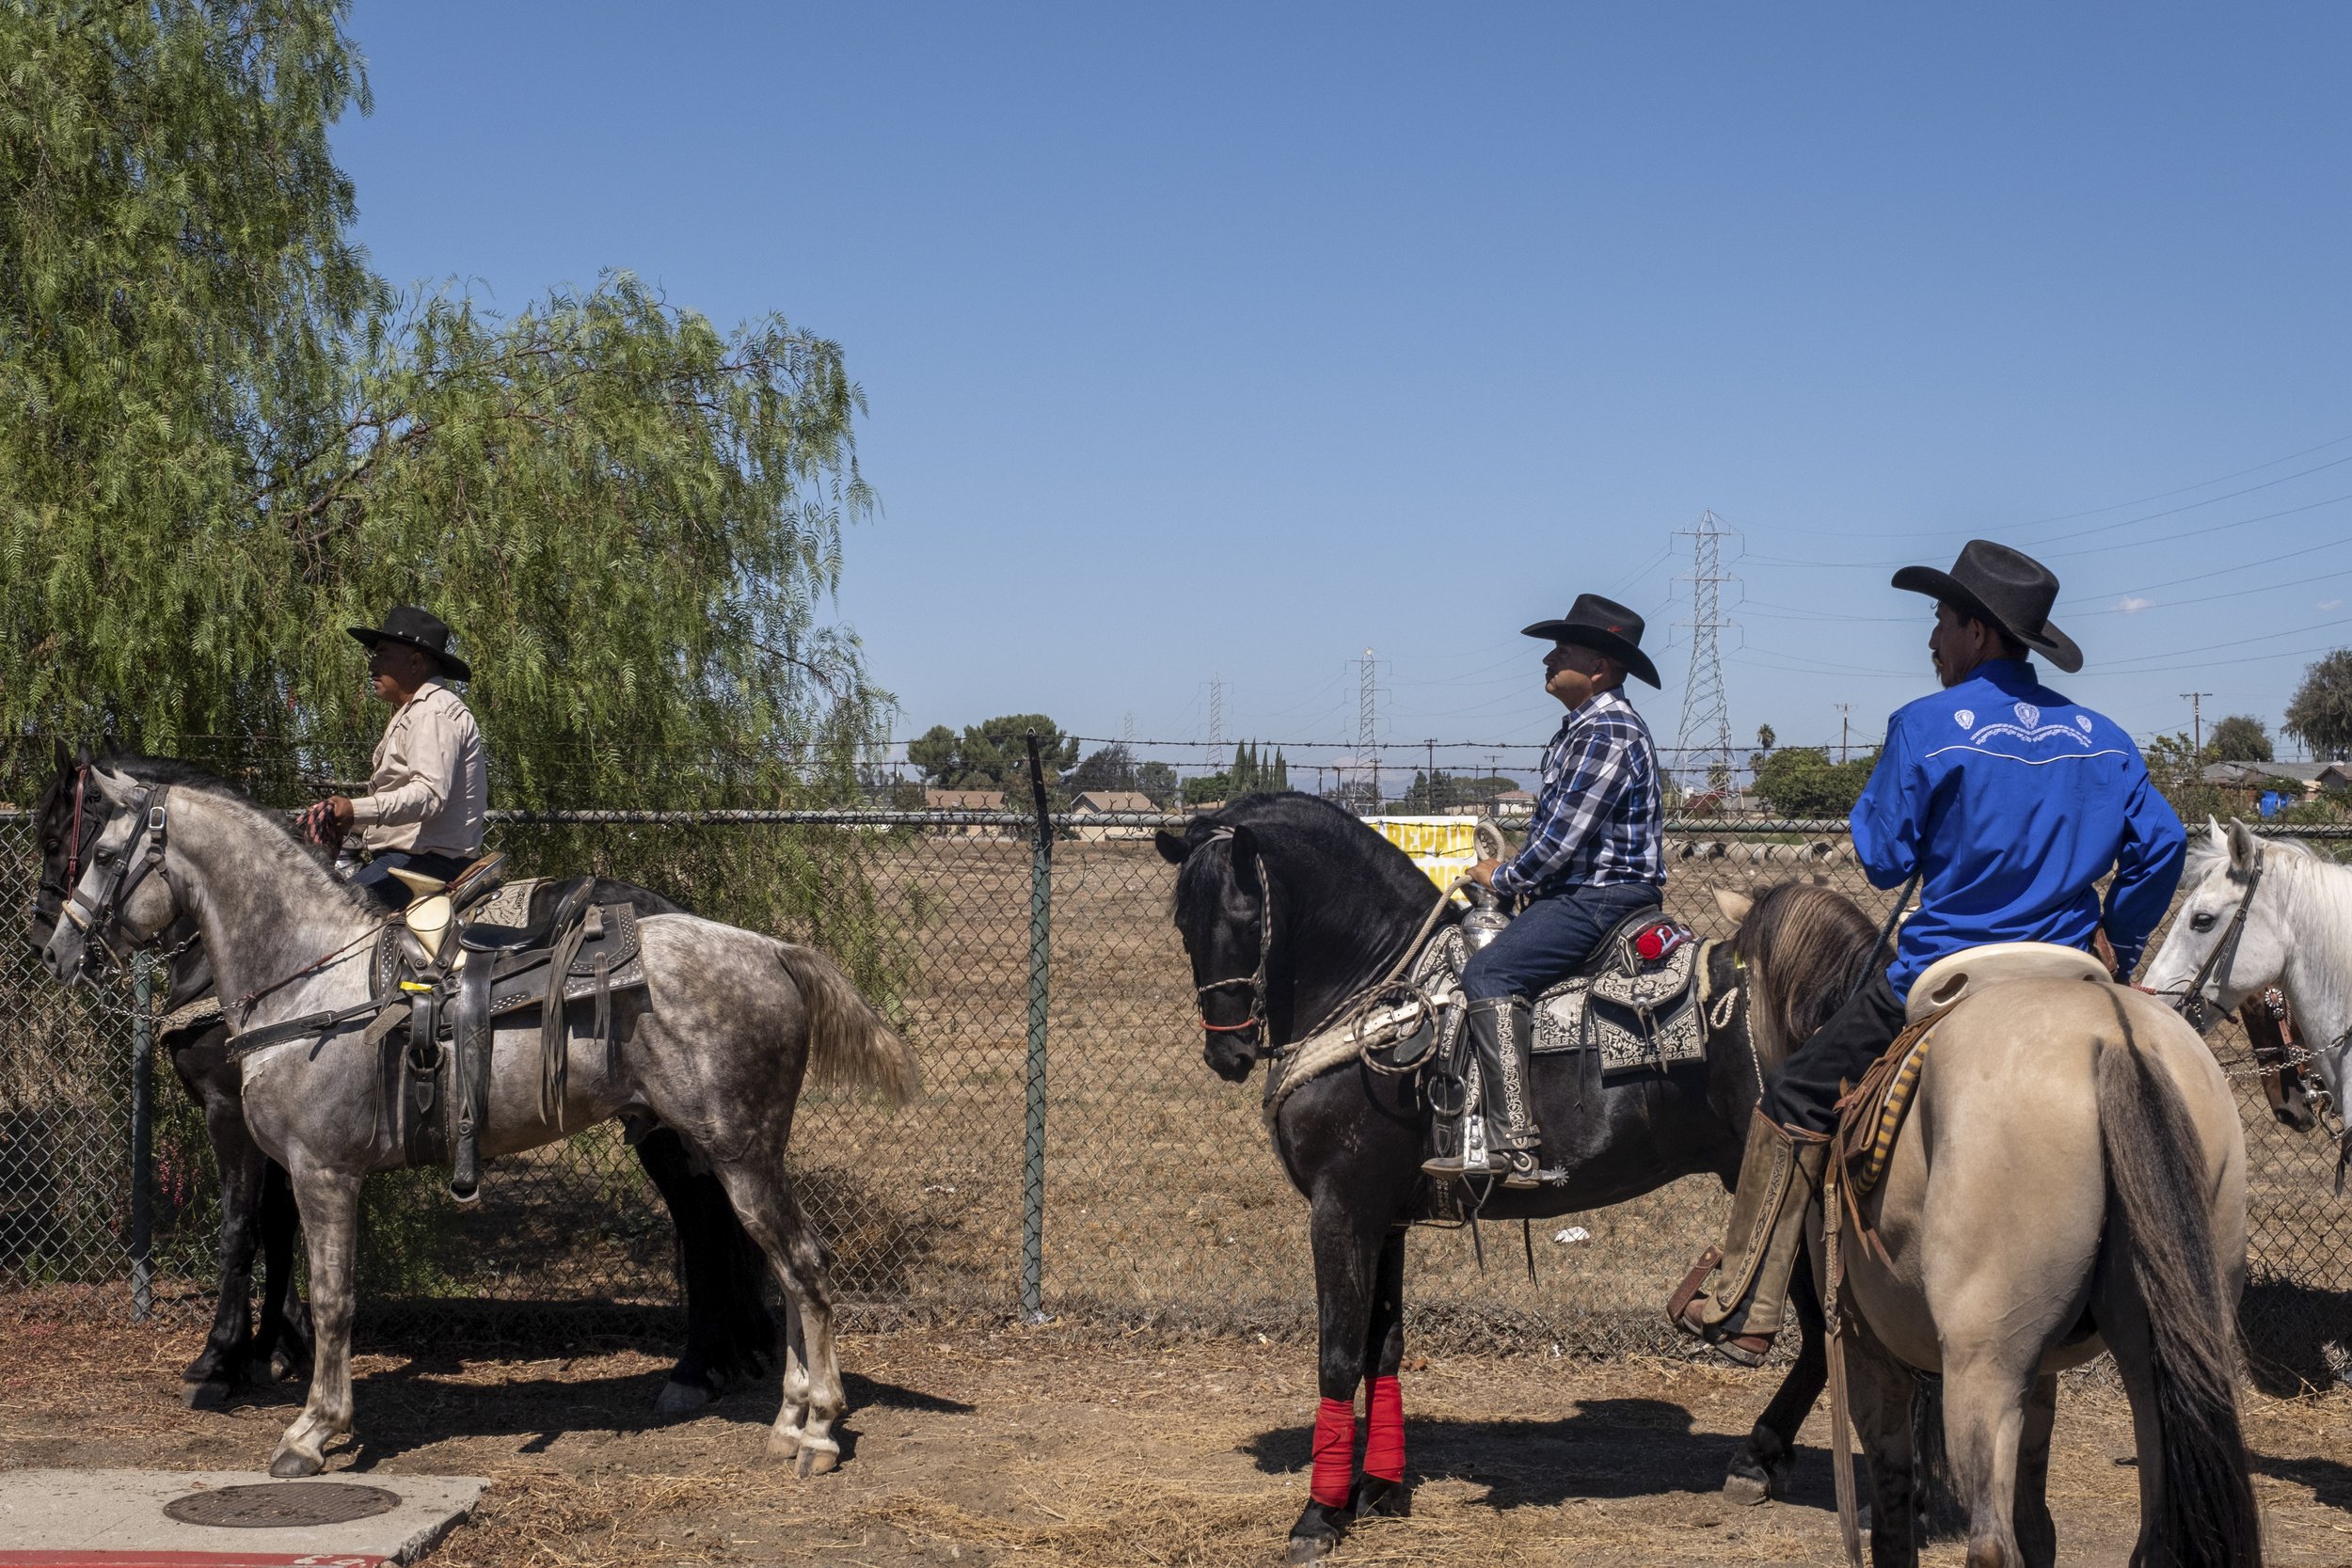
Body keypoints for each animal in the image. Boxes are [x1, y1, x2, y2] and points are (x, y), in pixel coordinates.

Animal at [48, 761, 908, 1485]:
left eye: (99, 851)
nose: (56, 949)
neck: (313, 976)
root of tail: (770, 949)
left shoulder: (321, 1171)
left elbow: (329, 1295)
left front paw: (307, 1426)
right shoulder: (293, 1165)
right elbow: (286, 1259)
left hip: (741, 1151)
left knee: (800, 1261)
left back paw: (817, 1429)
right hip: (718, 1149)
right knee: (778, 1264)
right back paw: (785, 1418)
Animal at [1152, 803, 1947, 1560]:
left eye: (1243, 918)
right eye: (1183, 922)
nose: (1226, 1051)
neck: (1381, 997)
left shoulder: (1341, 1209)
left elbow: (1338, 1355)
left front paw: (1320, 1514)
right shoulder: (1386, 1216)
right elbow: (1386, 1344)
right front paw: (1377, 1488)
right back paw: (1812, 1469)